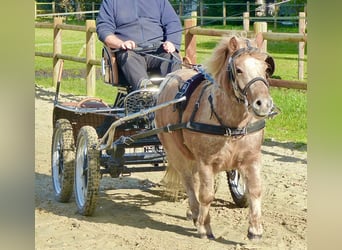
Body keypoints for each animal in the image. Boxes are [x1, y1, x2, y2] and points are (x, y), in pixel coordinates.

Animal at [154, 33, 276, 240]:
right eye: (238, 69)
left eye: (266, 68)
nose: (264, 104)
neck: (231, 125)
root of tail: (169, 78)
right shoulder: (205, 161)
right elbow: (206, 195)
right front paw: (205, 227)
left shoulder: (251, 159)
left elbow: (255, 190)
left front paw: (255, 229)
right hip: (175, 150)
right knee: (188, 180)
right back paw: (196, 212)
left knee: (194, 181)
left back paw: (193, 212)